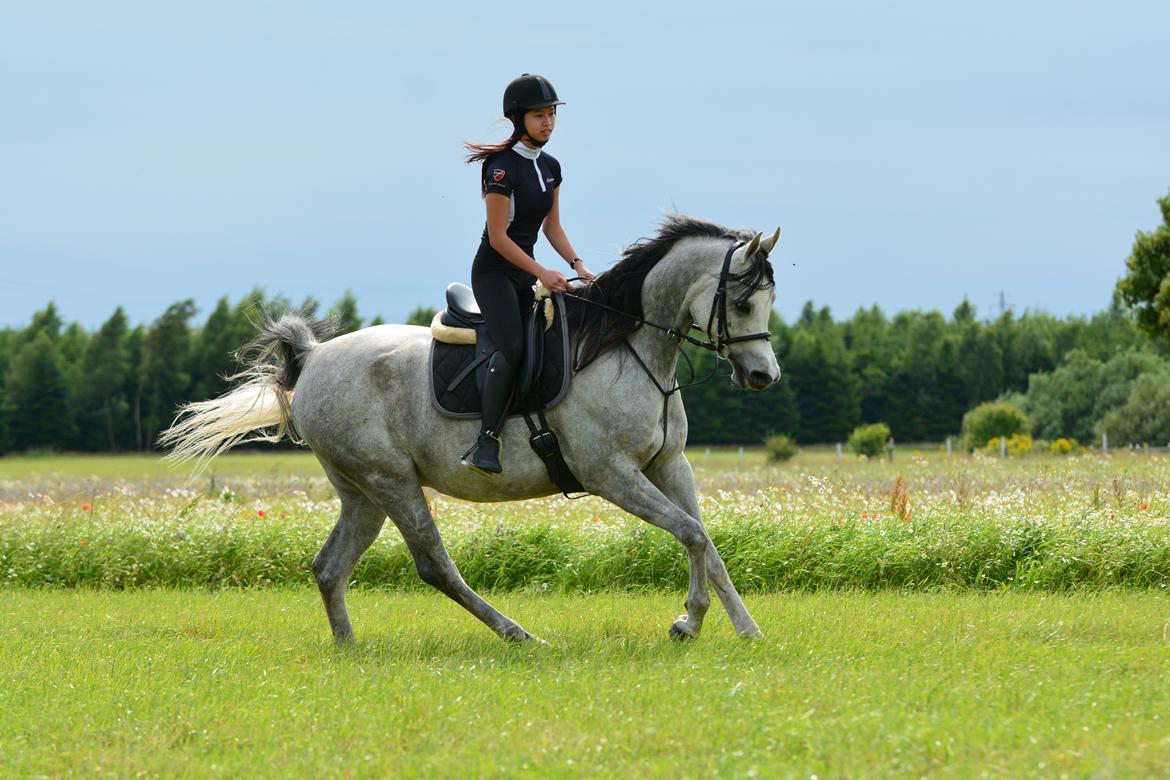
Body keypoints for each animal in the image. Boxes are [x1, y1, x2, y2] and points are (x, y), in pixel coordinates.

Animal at [160, 211, 781, 640]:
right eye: (742, 303)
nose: (763, 376)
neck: (625, 347)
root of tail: (313, 359)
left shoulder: (667, 464)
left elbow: (706, 541)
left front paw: (746, 629)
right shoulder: (610, 473)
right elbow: (690, 532)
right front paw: (688, 622)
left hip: (362, 493)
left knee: (330, 568)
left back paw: (349, 648)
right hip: (392, 482)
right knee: (434, 565)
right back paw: (519, 635)